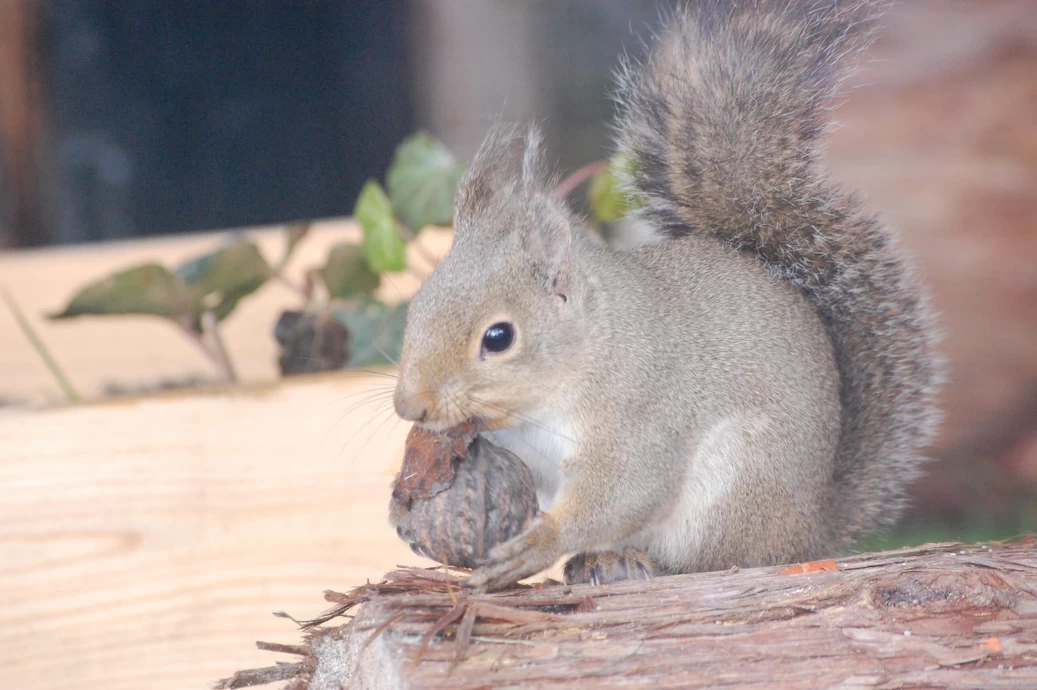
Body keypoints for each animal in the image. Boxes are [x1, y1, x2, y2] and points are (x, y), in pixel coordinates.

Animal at [391, 0, 945, 593]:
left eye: (498, 337)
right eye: (415, 307)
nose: (409, 406)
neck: (586, 352)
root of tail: (813, 530)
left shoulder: (642, 416)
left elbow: (621, 492)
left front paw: (538, 545)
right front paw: (405, 496)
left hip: (735, 487)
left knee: (716, 560)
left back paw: (635, 561)